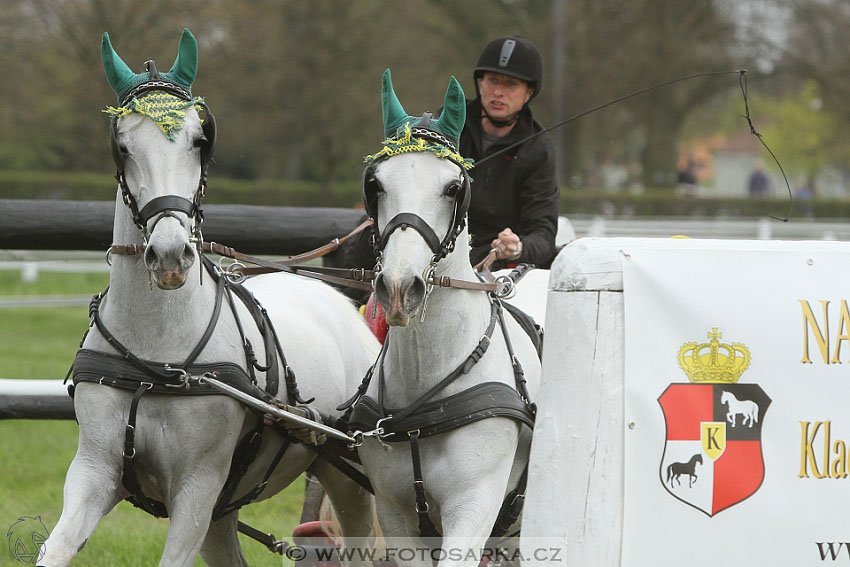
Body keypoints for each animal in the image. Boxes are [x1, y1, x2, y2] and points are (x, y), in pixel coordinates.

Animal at [39, 31, 378, 567]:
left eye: (201, 139)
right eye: (122, 145)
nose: (170, 254)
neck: (157, 359)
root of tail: (341, 304)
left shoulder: (197, 487)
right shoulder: (94, 471)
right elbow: (55, 548)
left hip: (346, 474)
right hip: (227, 502)